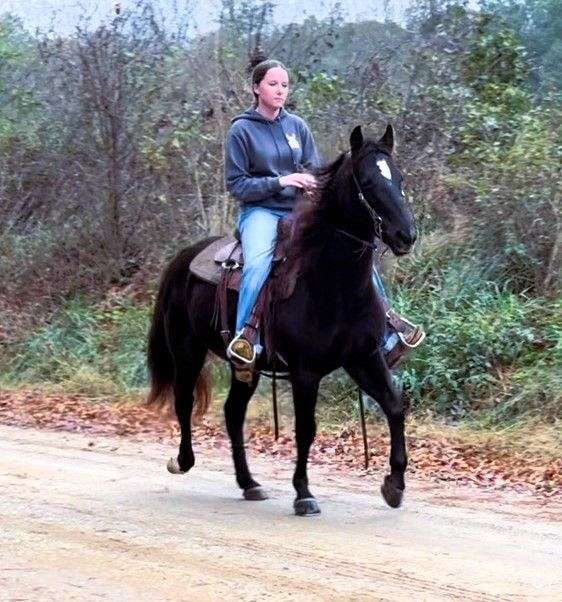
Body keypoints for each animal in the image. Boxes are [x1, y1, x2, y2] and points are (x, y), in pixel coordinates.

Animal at [148, 124, 416, 512]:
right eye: (367, 181)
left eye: (398, 177)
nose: (405, 235)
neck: (331, 283)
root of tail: (184, 257)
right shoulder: (306, 371)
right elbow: (306, 429)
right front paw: (303, 493)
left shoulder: (364, 358)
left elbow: (394, 406)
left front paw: (394, 484)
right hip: (186, 350)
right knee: (184, 400)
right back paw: (183, 461)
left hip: (245, 367)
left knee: (232, 412)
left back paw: (249, 483)